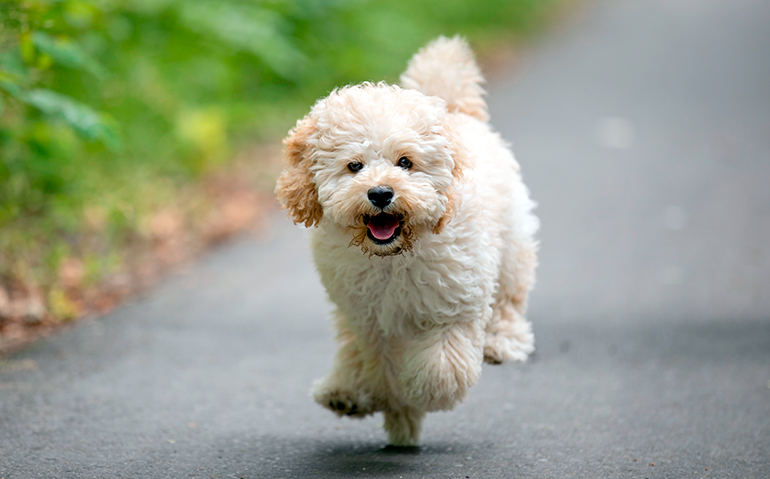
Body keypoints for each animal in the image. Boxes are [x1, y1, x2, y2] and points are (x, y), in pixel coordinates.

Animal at [274, 36, 536, 446]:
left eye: (405, 162)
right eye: (354, 166)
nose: (381, 193)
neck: (394, 256)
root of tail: (454, 111)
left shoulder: (454, 305)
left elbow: (441, 366)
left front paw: (423, 394)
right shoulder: (371, 320)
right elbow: (381, 367)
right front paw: (398, 409)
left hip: (511, 245)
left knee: (509, 298)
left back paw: (501, 342)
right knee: (349, 349)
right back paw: (344, 392)